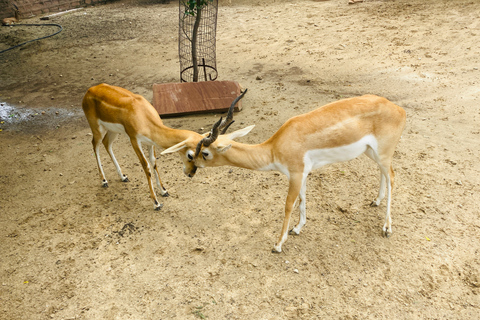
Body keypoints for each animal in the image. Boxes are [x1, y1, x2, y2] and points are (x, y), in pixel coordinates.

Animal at [81, 82, 208, 210]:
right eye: (190, 155)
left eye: (203, 155)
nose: (191, 173)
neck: (143, 115)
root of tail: (89, 90)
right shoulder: (134, 140)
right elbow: (146, 165)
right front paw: (156, 203)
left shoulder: (150, 142)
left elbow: (153, 162)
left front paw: (164, 191)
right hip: (97, 128)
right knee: (95, 145)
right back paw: (104, 181)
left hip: (113, 130)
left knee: (106, 143)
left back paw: (123, 177)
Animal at [163, 93, 406, 252]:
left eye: (203, 153)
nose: (189, 172)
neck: (273, 148)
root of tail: (399, 109)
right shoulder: (303, 174)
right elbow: (303, 199)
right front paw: (298, 228)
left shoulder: (296, 174)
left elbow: (288, 205)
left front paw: (278, 244)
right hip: (372, 153)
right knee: (383, 174)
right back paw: (376, 201)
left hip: (383, 153)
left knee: (393, 177)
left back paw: (387, 227)